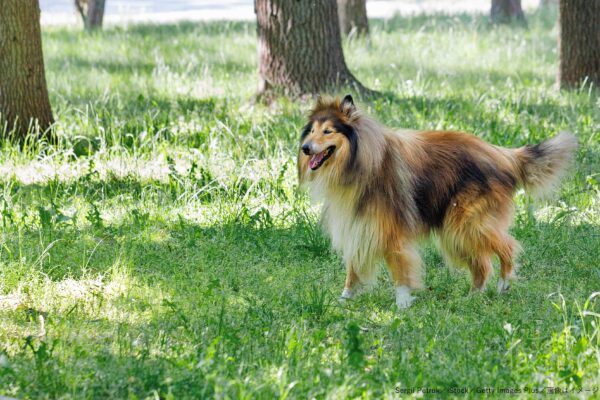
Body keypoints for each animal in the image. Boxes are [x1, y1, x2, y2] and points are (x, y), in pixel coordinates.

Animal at [298, 95, 580, 308]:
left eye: (328, 131)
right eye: (311, 130)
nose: (305, 148)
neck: (360, 161)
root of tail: (502, 154)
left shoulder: (391, 231)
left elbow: (400, 267)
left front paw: (402, 303)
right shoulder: (359, 225)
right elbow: (353, 267)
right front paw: (344, 299)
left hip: (466, 223)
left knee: (507, 248)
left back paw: (504, 284)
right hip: (456, 230)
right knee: (482, 264)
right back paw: (473, 296)